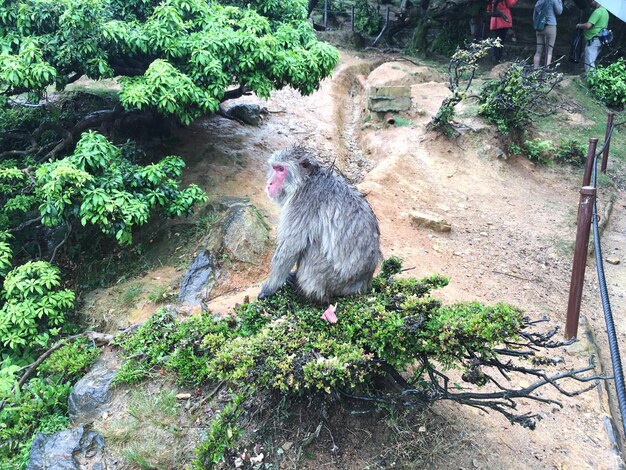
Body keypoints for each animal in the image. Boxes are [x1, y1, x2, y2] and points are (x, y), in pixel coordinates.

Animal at [258, 145, 380, 302]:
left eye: (281, 169)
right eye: (274, 168)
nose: (270, 183)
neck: (306, 181)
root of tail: (361, 284)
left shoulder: (303, 202)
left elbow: (290, 247)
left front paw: (269, 289)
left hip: (332, 277)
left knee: (311, 247)